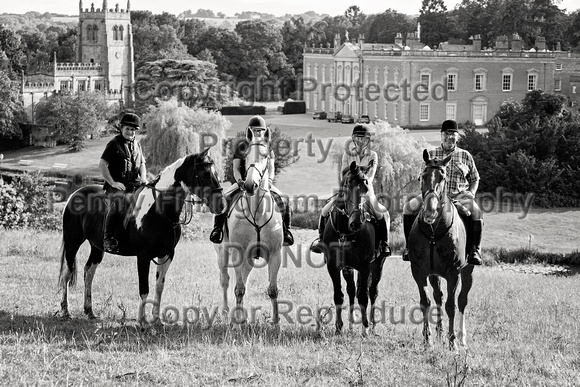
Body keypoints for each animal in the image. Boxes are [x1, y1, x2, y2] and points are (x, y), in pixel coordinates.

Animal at [57, 149, 224, 328]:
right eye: (205, 173)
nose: (221, 205)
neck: (159, 209)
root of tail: (74, 195)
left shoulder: (166, 255)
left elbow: (159, 287)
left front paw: (156, 320)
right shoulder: (143, 256)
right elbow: (144, 288)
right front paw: (142, 322)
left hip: (97, 247)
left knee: (88, 272)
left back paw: (89, 311)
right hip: (72, 243)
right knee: (67, 274)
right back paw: (65, 311)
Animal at [324, 161, 388, 336]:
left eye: (366, 187)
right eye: (348, 185)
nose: (357, 222)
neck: (345, 231)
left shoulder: (365, 266)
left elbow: (363, 297)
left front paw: (365, 328)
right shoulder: (333, 266)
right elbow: (339, 295)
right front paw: (339, 327)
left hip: (378, 264)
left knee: (372, 292)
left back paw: (372, 326)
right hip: (349, 268)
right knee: (352, 290)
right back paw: (352, 324)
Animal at [408, 150, 476, 350]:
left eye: (443, 177)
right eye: (422, 176)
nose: (430, 213)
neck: (434, 232)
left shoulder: (453, 273)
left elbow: (451, 306)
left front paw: (452, 342)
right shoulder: (419, 272)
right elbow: (426, 302)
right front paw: (428, 340)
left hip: (467, 271)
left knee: (462, 300)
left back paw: (461, 337)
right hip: (434, 274)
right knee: (438, 296)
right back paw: (439, 333)